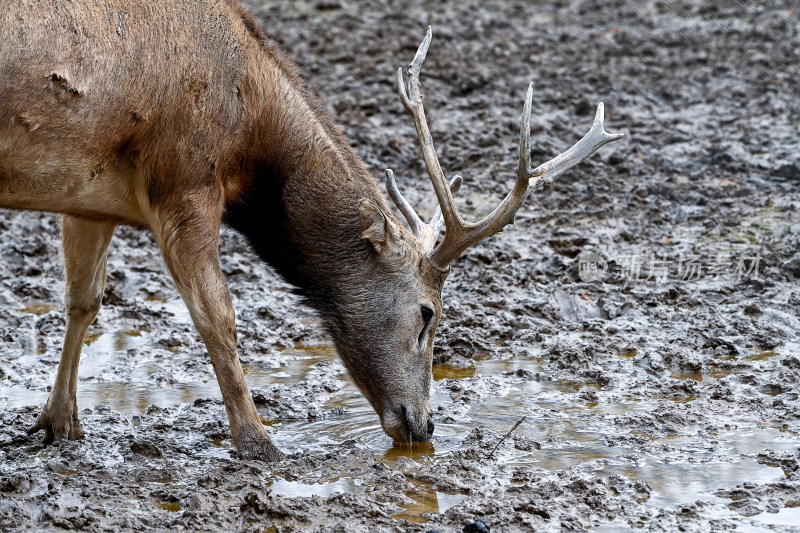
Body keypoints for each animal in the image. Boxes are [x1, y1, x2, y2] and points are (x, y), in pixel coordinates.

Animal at [0, 0, 624, 460]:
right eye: (428, 313)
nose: (423, 425)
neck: (250, 137)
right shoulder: (185, 181)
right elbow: (218, 317)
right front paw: (260, 443)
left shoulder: (89, 195)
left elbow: (84, 300)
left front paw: (59, 424)